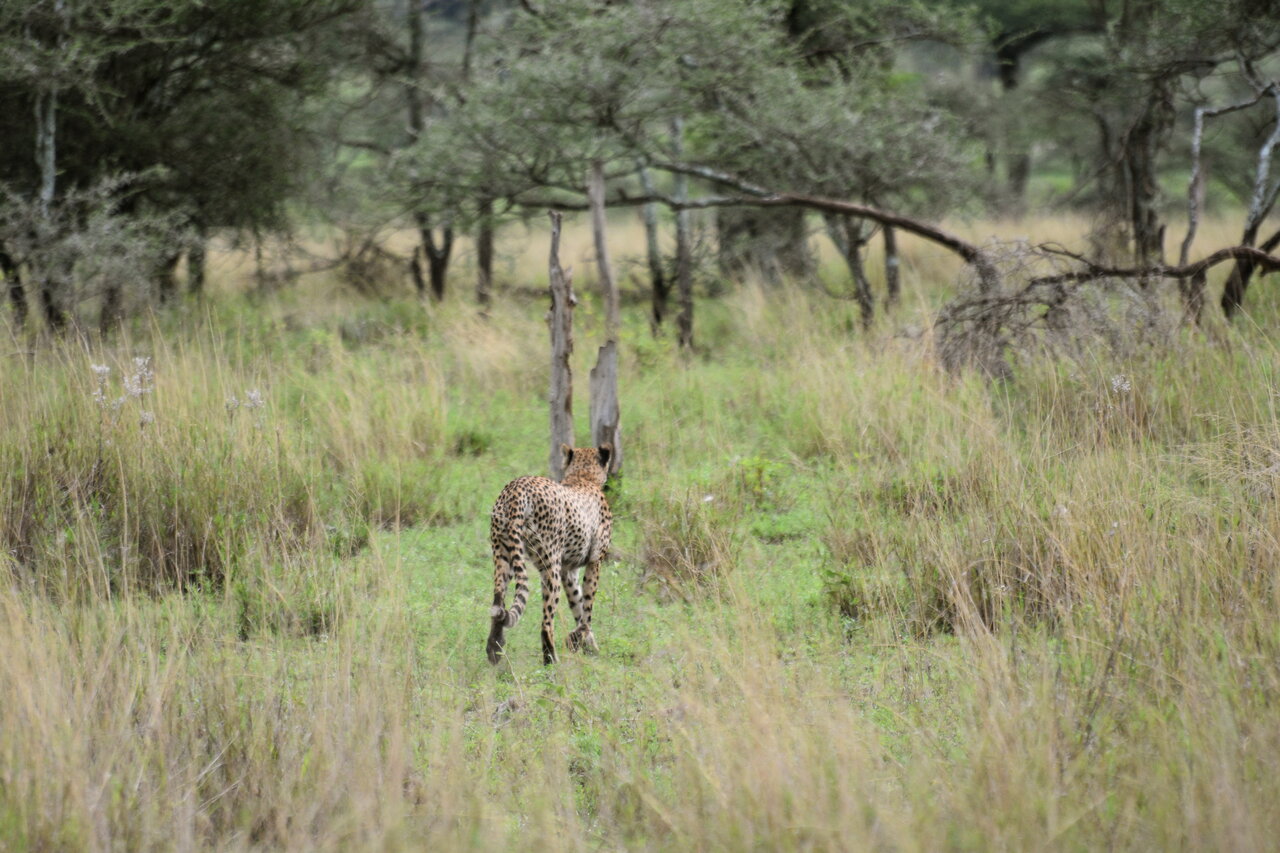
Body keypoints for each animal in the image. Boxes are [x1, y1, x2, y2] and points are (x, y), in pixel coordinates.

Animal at [483, 445, 614, 666]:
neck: (582, 477)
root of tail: (516, 487)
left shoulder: (568, 571)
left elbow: (578, 604)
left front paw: (587, 645)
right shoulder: (594, 561)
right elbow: (587, 608)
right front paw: (579, 641)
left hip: (503, 556)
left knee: (498, 603)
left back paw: (494, 649)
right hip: (549, 565)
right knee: (546, 623)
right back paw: (551, 661)